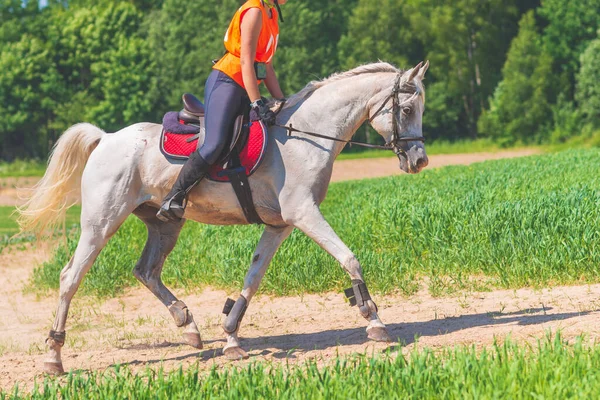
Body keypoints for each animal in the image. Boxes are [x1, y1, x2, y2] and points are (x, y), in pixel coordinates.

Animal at [18, 61, 428, 374]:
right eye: (407, 110)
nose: (420, 160)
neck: (306, 135)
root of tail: (105, 138)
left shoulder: (280, 225)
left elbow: (253, 278)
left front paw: (231, 337)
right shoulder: (304, 213)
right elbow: (349, 258)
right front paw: (374, 320)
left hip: (165, 223)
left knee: (146, 270)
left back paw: (188, 325)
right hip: (101, 222)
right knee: (70, 278)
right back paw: (54, 358)